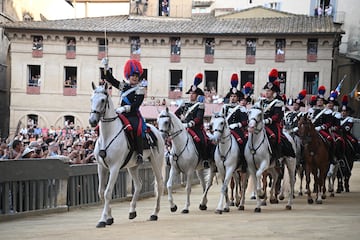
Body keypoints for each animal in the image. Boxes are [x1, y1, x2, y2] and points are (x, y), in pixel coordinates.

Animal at [88, 82, 165, 227]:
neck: (108, 135)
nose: (92, 121)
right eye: (91, 99)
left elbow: (107, 192)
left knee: (159, 184)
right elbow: (101, 192)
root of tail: (156, 131)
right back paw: (132, 211)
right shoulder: (101, 167)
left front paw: (103, 219)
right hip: (133, 166)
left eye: (103, 100)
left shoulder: (114, 168)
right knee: (139, 185)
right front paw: (109, 217)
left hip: (156, 162)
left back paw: (155, 213)